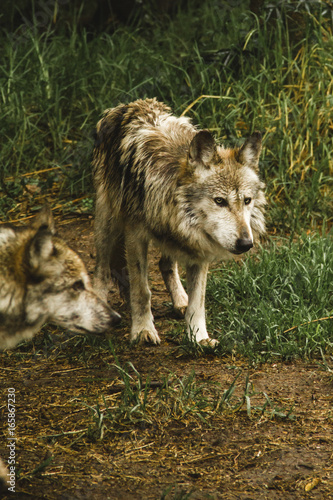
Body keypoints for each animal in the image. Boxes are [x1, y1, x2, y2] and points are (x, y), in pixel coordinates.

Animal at [91, 99, 264, 346]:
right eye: (219, 201)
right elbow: (142, 291)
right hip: (107, 222)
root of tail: (129, 105)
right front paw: (143, 331)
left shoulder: (200, 244)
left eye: (247, 200)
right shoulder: (136, 236)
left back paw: (180, 300)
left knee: (166, 265)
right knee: (102, 270)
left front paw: (198, 338)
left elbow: (198, 301)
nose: (246, 244)